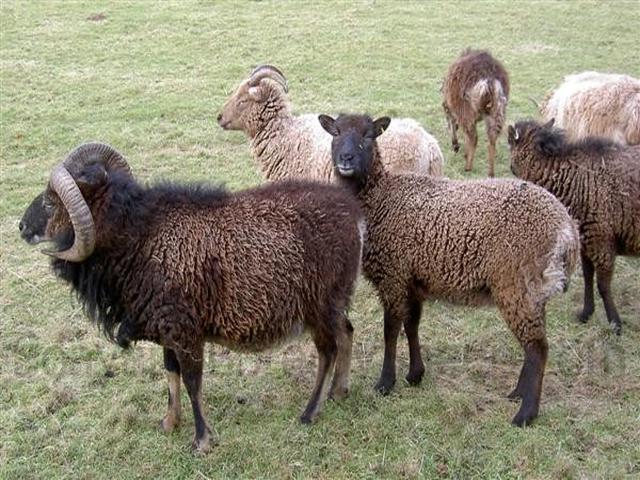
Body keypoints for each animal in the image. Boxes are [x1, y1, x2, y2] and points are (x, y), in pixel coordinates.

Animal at [20, 142, 364, 453]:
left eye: (50, 202)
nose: (21, 226)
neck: (139, 238)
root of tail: (353, 214)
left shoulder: (186, 332)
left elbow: (191, 382)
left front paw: (201, 440)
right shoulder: (167, 329)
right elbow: (171, 374)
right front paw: (170, 423)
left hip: (320, 306)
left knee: (328, 351)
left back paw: (310, 412)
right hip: (335, 301)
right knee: (347, 332)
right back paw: (339, 392)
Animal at [318, 113, 580, 427]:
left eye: (369, 136)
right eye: (335, 133)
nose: (345, 159)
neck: (381, 196)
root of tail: (567, 231)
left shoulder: (393, 274)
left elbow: (390, 330)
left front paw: (385, 383)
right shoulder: (413, 279)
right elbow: (412, 325)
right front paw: (415, 375)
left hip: (516, 283)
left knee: (537, 347)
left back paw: (525, 414)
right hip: (533, 289)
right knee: (534, 343)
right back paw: (517, 393)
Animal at [442, 49, 510, 177]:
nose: (455, 148)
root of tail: (489, 80)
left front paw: (457, 146)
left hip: (466, 109)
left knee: (474, 138)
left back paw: (468, 167)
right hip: (497, 110)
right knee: (492, 138)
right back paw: (491, 173)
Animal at [508, 119, 640, 334]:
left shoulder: (602, 241)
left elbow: (603, 286)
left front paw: (615, 323)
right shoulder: (586, 242)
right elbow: (587, 277)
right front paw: (586, 313)